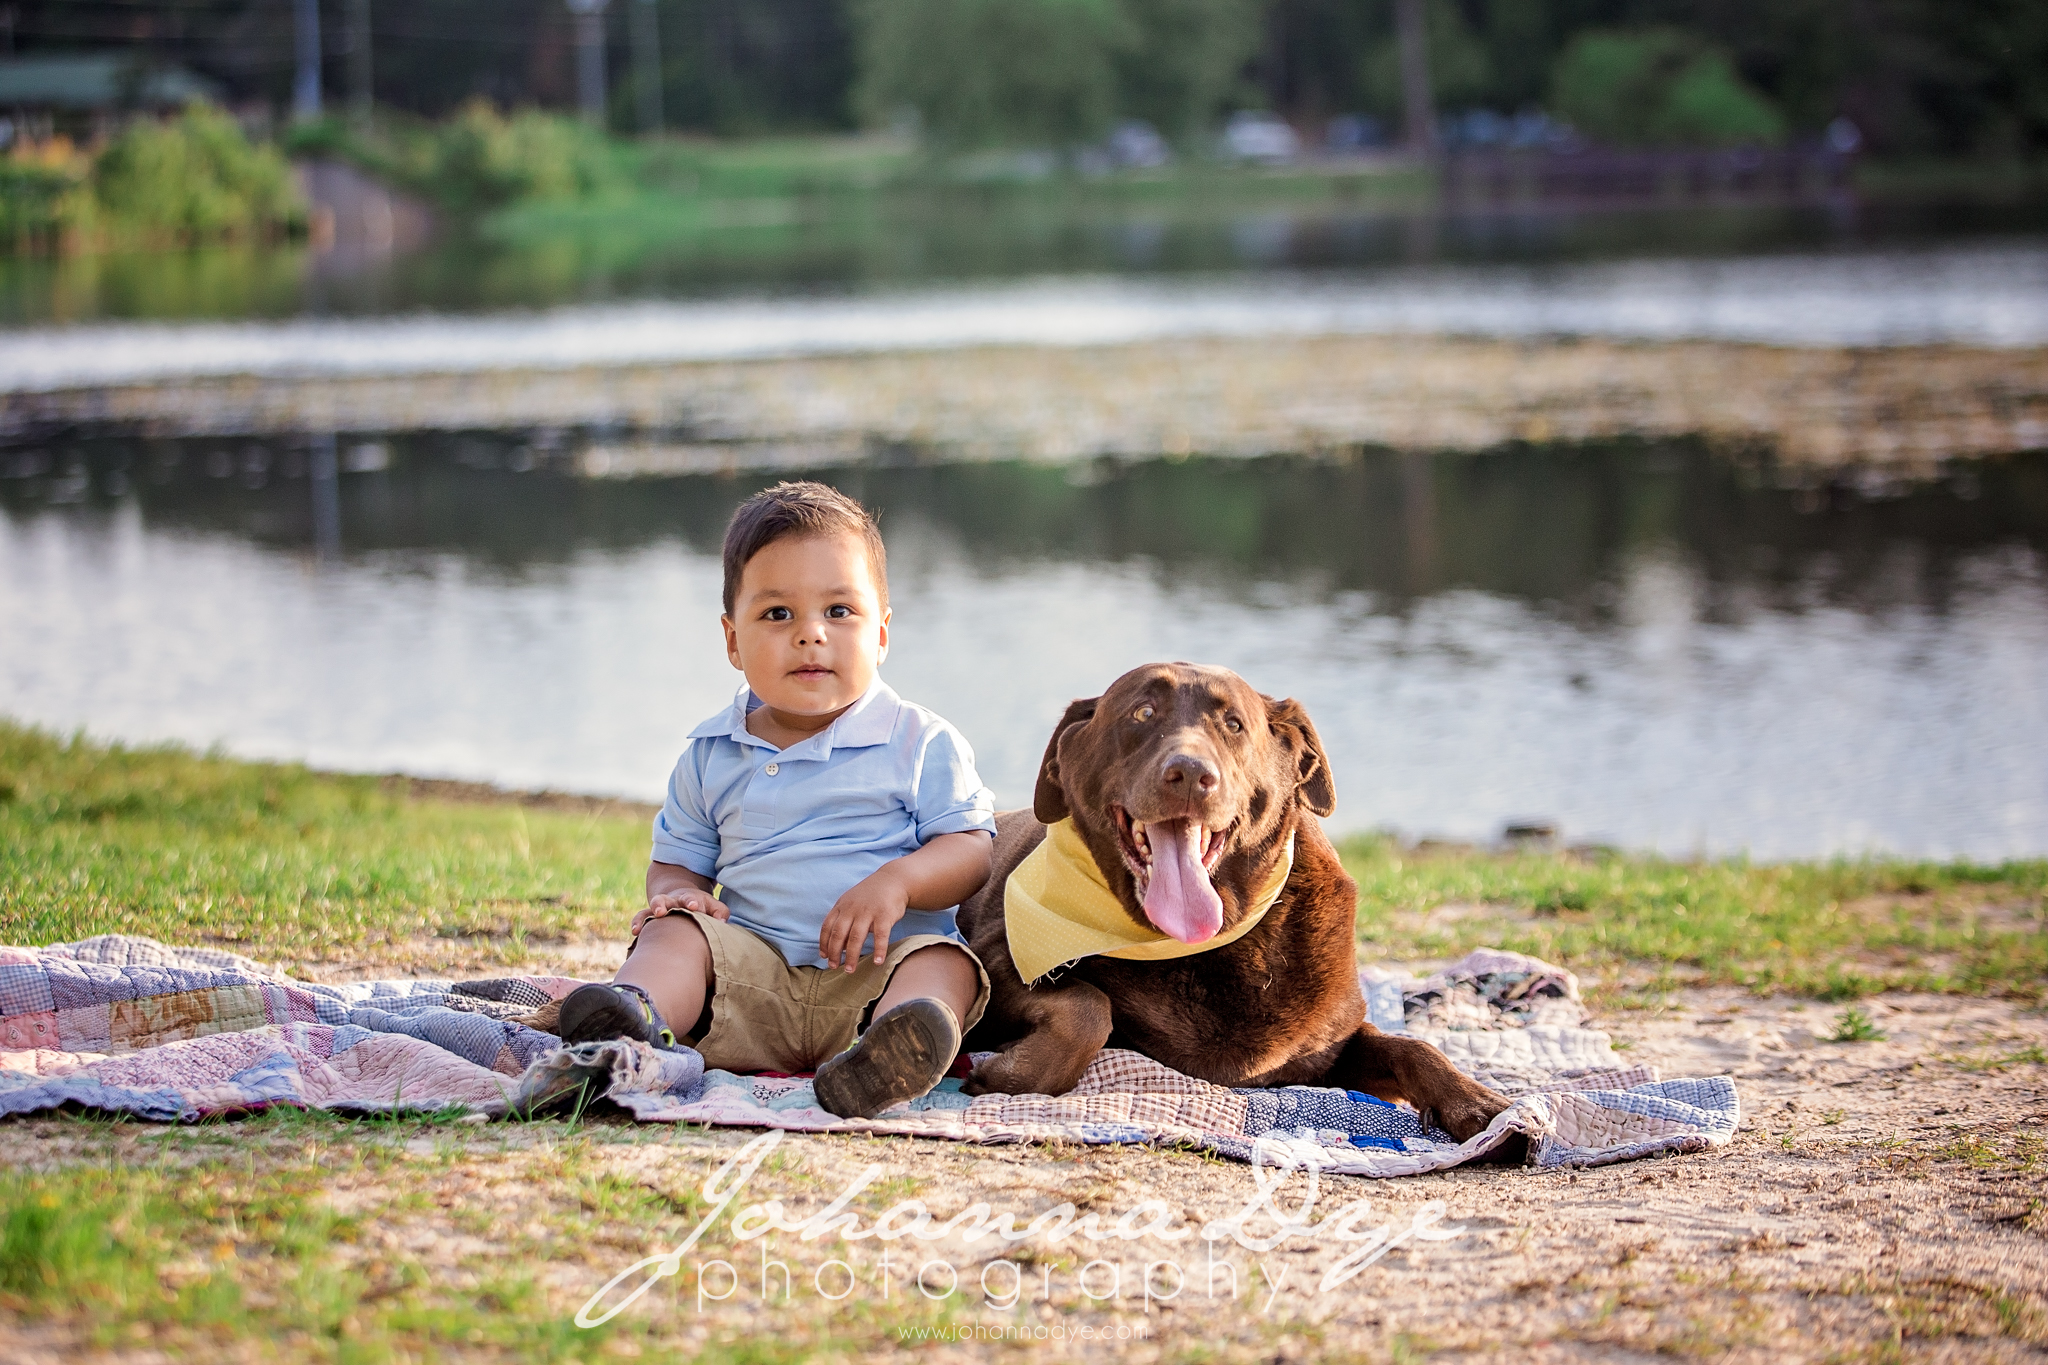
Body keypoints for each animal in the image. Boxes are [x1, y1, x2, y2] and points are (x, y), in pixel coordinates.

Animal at [954, 663, 1507, 1146]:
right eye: (1142, 713)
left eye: (1234, 725)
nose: (1190, 773)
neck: (1206, 943)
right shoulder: (998, 962)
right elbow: (1089, 1007)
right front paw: (1013, 1074)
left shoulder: (1329, 1046)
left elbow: (1409, 1045)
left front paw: (1478, 1101)